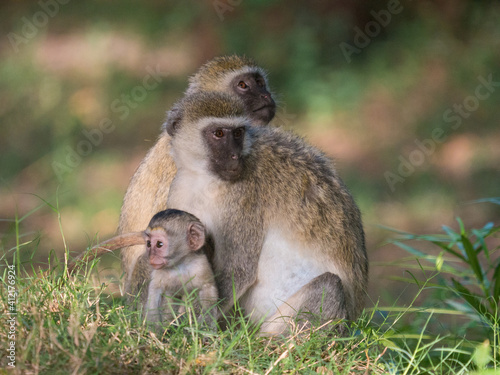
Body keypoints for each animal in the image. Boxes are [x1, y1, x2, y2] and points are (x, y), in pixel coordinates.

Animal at [69, 209, 219, 326]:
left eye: (159, 244)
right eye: (148, 244)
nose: (151, 256)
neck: (179, 265)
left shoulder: (201, 267)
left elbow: (208, 291)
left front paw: (207, 327)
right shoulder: (159, 274)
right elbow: (155, 295)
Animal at [166, 92, 370, 338]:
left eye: (238, 133)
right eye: (218, 134)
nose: (234, 157)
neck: (205, 179)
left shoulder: (244, 198)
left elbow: (238, 270)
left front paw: (184, 325)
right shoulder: (179, 189)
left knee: (329, 285)